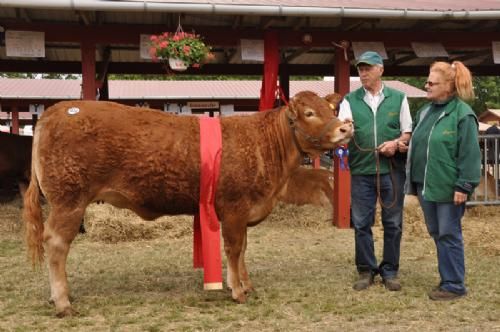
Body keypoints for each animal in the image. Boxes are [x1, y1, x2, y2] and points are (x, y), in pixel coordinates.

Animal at [23, 91, 352, 316]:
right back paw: (63, 302)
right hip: (68, 201)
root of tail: (57, 110)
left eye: (331, 108)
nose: (346, 129)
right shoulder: (234, 208)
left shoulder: (244, 211)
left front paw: (246, 284)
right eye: (309, 112)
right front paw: (237, 290)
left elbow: (243, 248)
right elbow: (234, 249)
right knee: (56, 243)